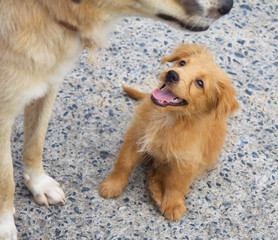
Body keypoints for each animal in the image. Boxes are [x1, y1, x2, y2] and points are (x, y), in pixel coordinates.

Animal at [99, 43, 238, 221]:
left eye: (200, 83)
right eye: (182, 63)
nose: (172, 74)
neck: (167, 119)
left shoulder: (187, 161)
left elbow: (176, 184)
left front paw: (173, 204)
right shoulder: (135, 136)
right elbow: (124, 163)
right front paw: (112, 184)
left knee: (160, 172)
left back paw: (156, 192)